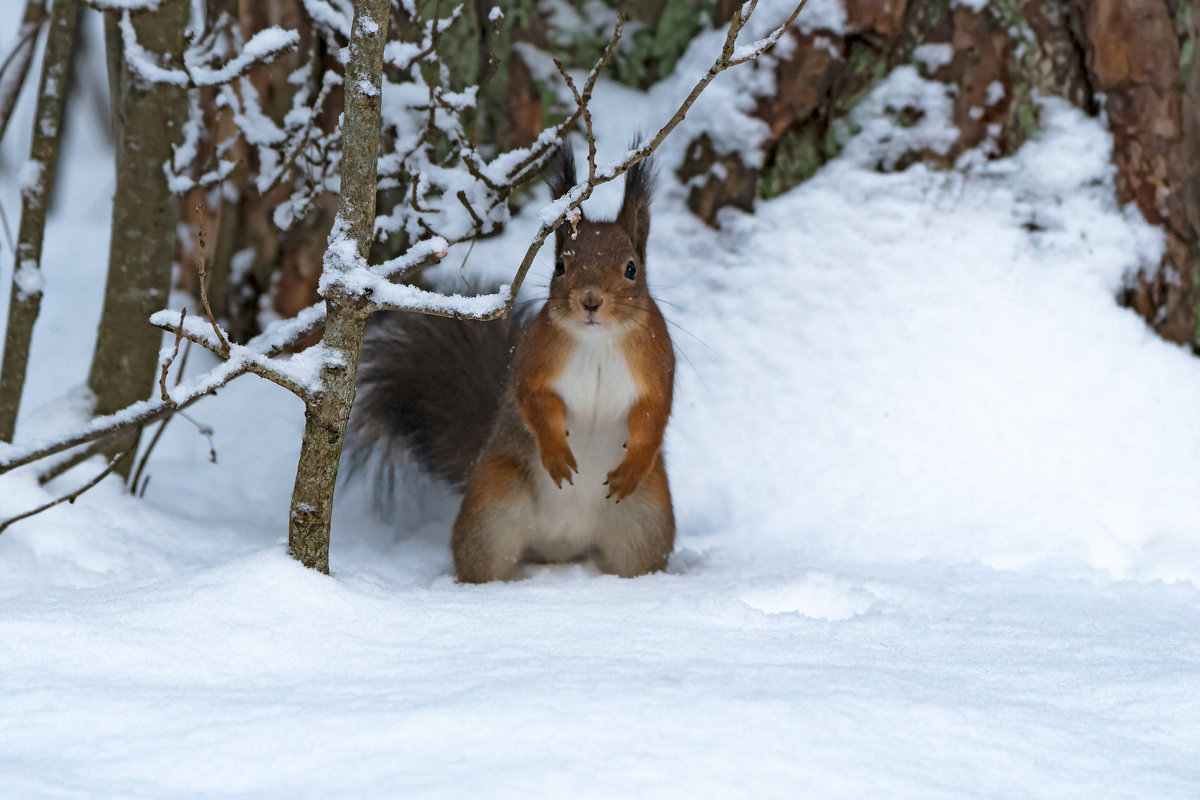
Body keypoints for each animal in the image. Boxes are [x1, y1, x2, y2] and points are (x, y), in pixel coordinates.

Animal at [350, 143, 681, 582]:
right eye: (560, 266)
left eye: (631, 268)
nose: (591, 300)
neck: (597, 341)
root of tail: (562, 549)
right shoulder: (535, 358)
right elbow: (532, 398)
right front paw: (556, 453)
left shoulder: (658, 365)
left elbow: (654, 413)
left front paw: (632, 466)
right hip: (494, 507)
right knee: (485, 559)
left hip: (645, 519)